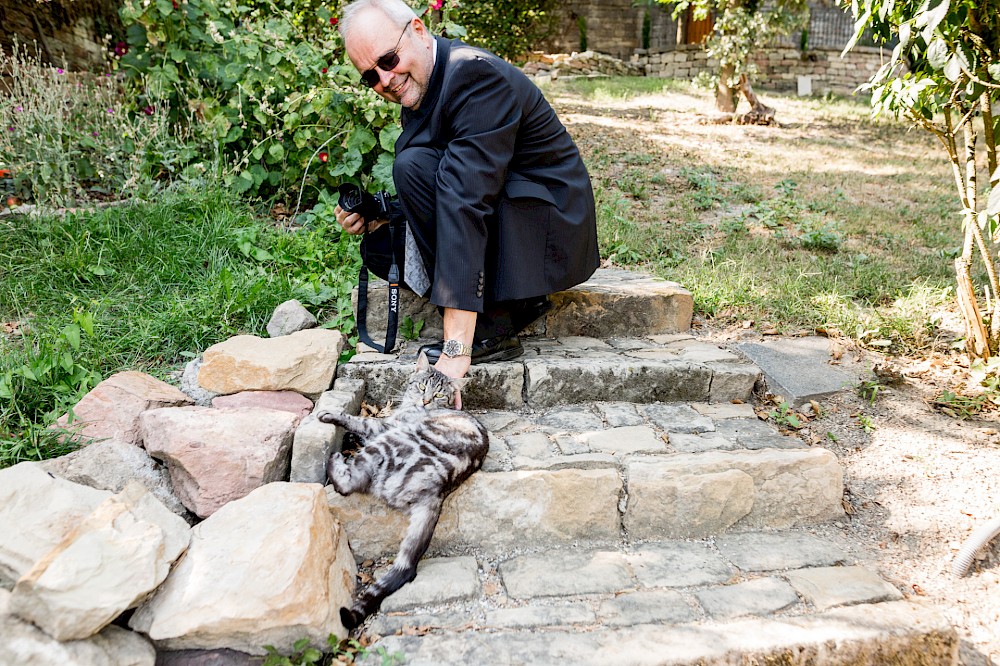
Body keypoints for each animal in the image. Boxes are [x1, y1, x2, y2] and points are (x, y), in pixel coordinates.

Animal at [318, 350, 490, 632]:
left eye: (439, 395)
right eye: (422, 387)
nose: (425, 401)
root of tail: (438, 489)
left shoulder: (385, 426)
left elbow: (361, 420)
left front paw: (333, 415)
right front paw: (351, 437)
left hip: (390, 442)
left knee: (349, 484)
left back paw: (337, 459)